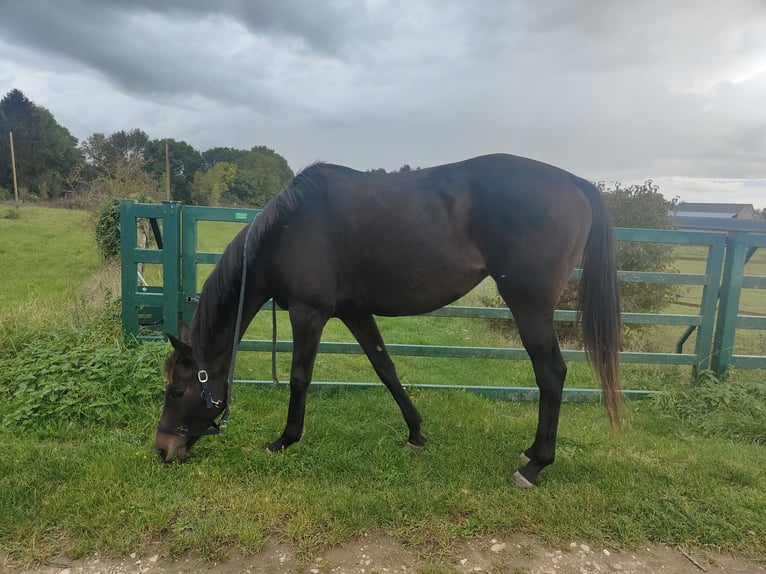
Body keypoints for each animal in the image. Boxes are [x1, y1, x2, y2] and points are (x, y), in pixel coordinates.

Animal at [153, 154, 620, 490]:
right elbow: (386, 368)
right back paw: (529, 454)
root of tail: (574, 182)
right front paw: (416, 433)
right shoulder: (355, 312)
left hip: (529, 306)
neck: (288, 228)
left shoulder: (309, 312)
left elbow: (300, 378)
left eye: (176, 390)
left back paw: (535, 465)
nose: (162, 450)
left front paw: (284, 439)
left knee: (551, 373)